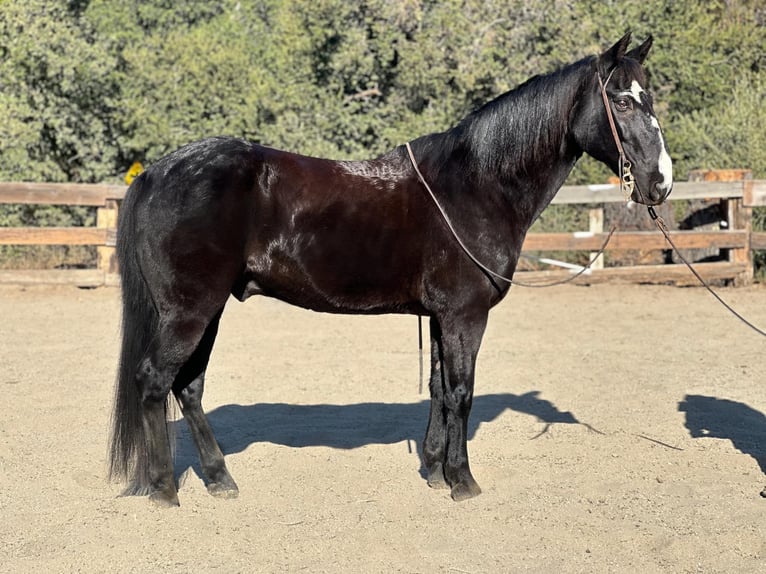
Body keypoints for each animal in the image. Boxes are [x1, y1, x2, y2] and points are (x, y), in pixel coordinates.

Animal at [108, 33, 672, 506]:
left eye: (650, 98)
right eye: (622, 100)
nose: (660, 182)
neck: (477, 184)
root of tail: (158, 172)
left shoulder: (442, 317)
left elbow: (439, 388)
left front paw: (435, 468)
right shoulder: (465, 315)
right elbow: (461, 392)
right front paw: (462, 481)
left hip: (208, 309)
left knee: (188, 387)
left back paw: (220, 479)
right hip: (190, 310)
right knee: (155, 380)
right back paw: (164, 489)